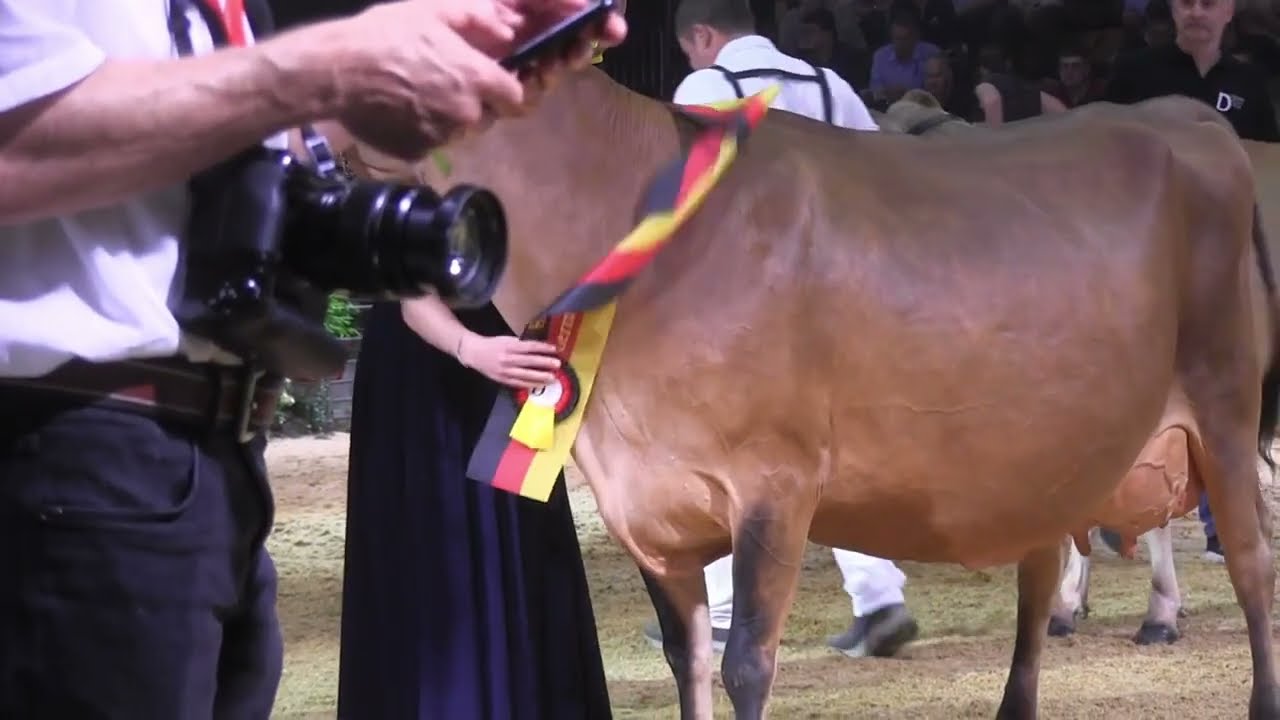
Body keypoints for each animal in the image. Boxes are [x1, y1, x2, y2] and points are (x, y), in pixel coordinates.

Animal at [353, 67, 1280, 719]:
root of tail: (1185, 112)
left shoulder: (775, 481)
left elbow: (745, 665)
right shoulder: (646, 504)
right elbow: (687, 661)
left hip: (1226, 405)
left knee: (1251, 563)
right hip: (1057, 450)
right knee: (1040, 578)